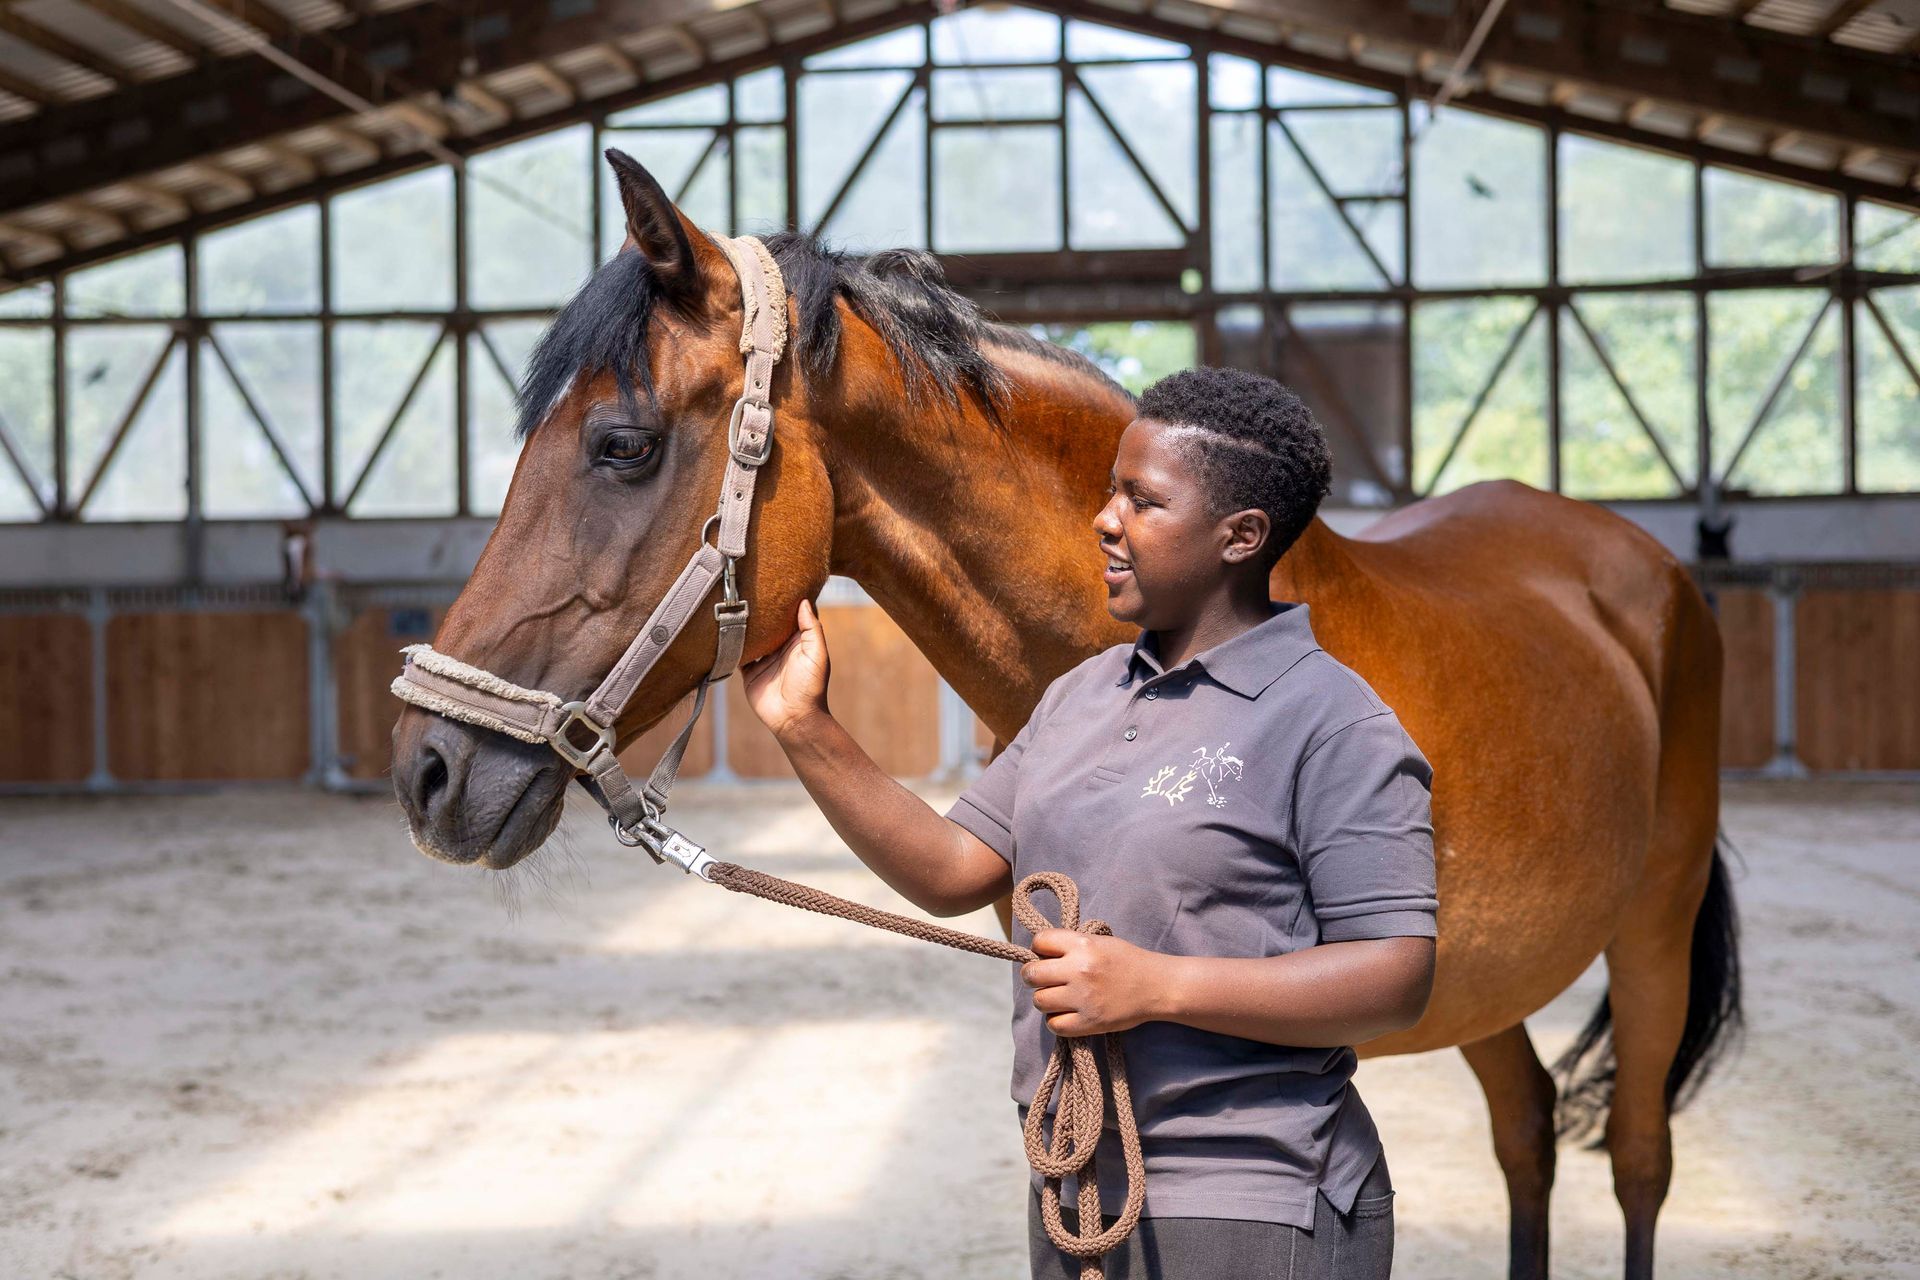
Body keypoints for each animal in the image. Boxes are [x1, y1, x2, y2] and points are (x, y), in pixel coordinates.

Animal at [390, 150, 1742, 1280]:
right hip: (1493, 983)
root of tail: (1639, 565)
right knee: (1527, 1136)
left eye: (620, 443)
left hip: (1652, 929)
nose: (428, 769)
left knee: (1638, 1160)